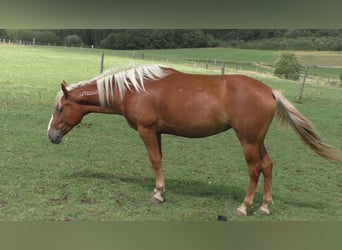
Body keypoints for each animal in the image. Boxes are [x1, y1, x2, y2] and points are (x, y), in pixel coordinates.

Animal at [46, 63, 340, 216]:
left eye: (60, 108)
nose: (51, 136)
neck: (134, 89)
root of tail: (269, 91)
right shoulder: (158, 132)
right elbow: (160, 159)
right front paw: (161, 190)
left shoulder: (147, 130)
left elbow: (154, 160)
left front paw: (157, 194)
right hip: (258, 140)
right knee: (267, 166)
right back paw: (265, 207)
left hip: (247, 141)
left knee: (255, 169)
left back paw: (245, 207)